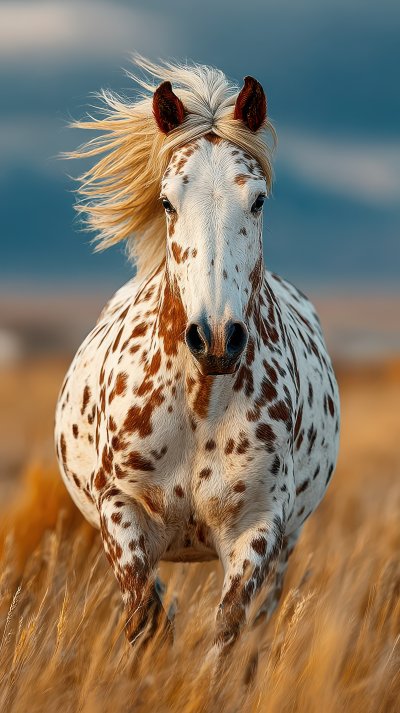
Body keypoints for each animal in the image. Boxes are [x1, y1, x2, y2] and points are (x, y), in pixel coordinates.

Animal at [55, 57, 340, 656]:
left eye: (258, 199)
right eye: (167, 201)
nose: (215, 339)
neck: (200, 404)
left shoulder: (259, 528)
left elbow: (228, 633)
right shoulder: (121, 511)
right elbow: (145, 620)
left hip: (287, 548)